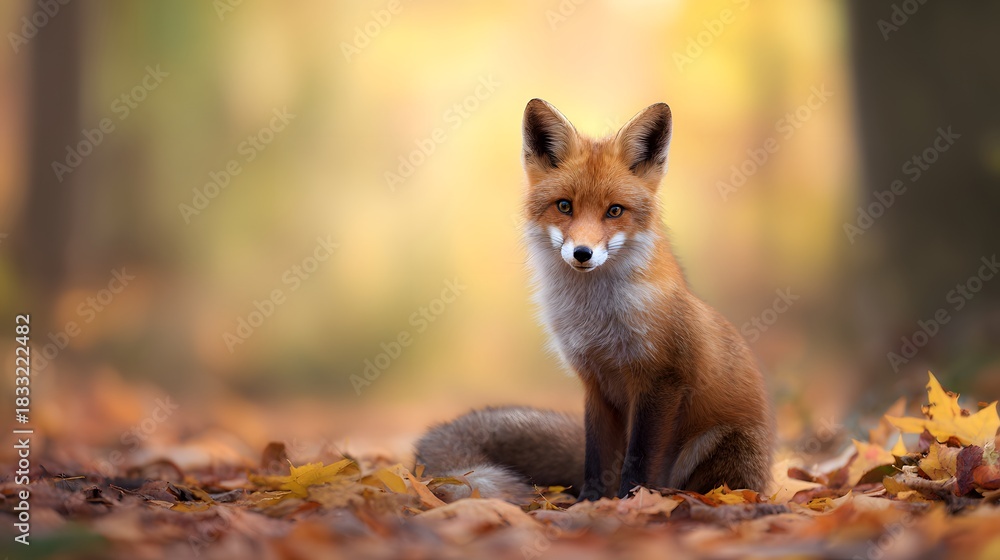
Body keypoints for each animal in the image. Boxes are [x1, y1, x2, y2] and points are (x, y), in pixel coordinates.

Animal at [415, 99, 773, 502]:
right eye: (564, 206)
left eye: (614, 210)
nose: (582, 253)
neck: (596, 320)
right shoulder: (595, 382)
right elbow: (596, 457)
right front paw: (591, 503)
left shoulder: (661, 380)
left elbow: (639, 459)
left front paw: (632, 502)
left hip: (722, 445)